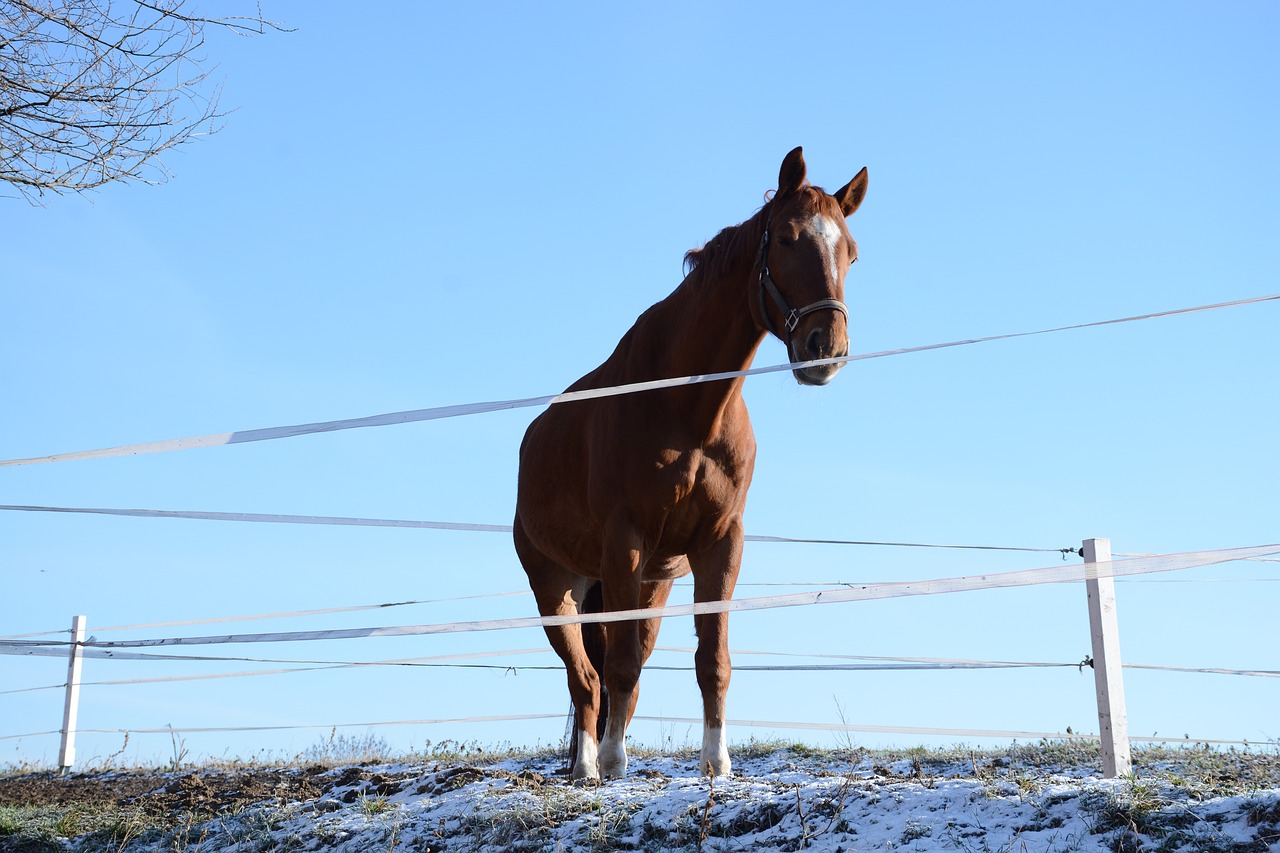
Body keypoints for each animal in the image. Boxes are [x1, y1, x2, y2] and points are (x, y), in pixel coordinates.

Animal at [514, 146, 865, 778]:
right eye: (786, 239)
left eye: (850, 251)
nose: (825, 348)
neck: (687, 406)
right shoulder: (625, 541)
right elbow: (620, 665)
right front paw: (615, 764)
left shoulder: (719, 544)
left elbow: (712, 659)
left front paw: (716, 762)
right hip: (557, 587)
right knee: (587, 678)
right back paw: (587, 766)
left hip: (647, 586)